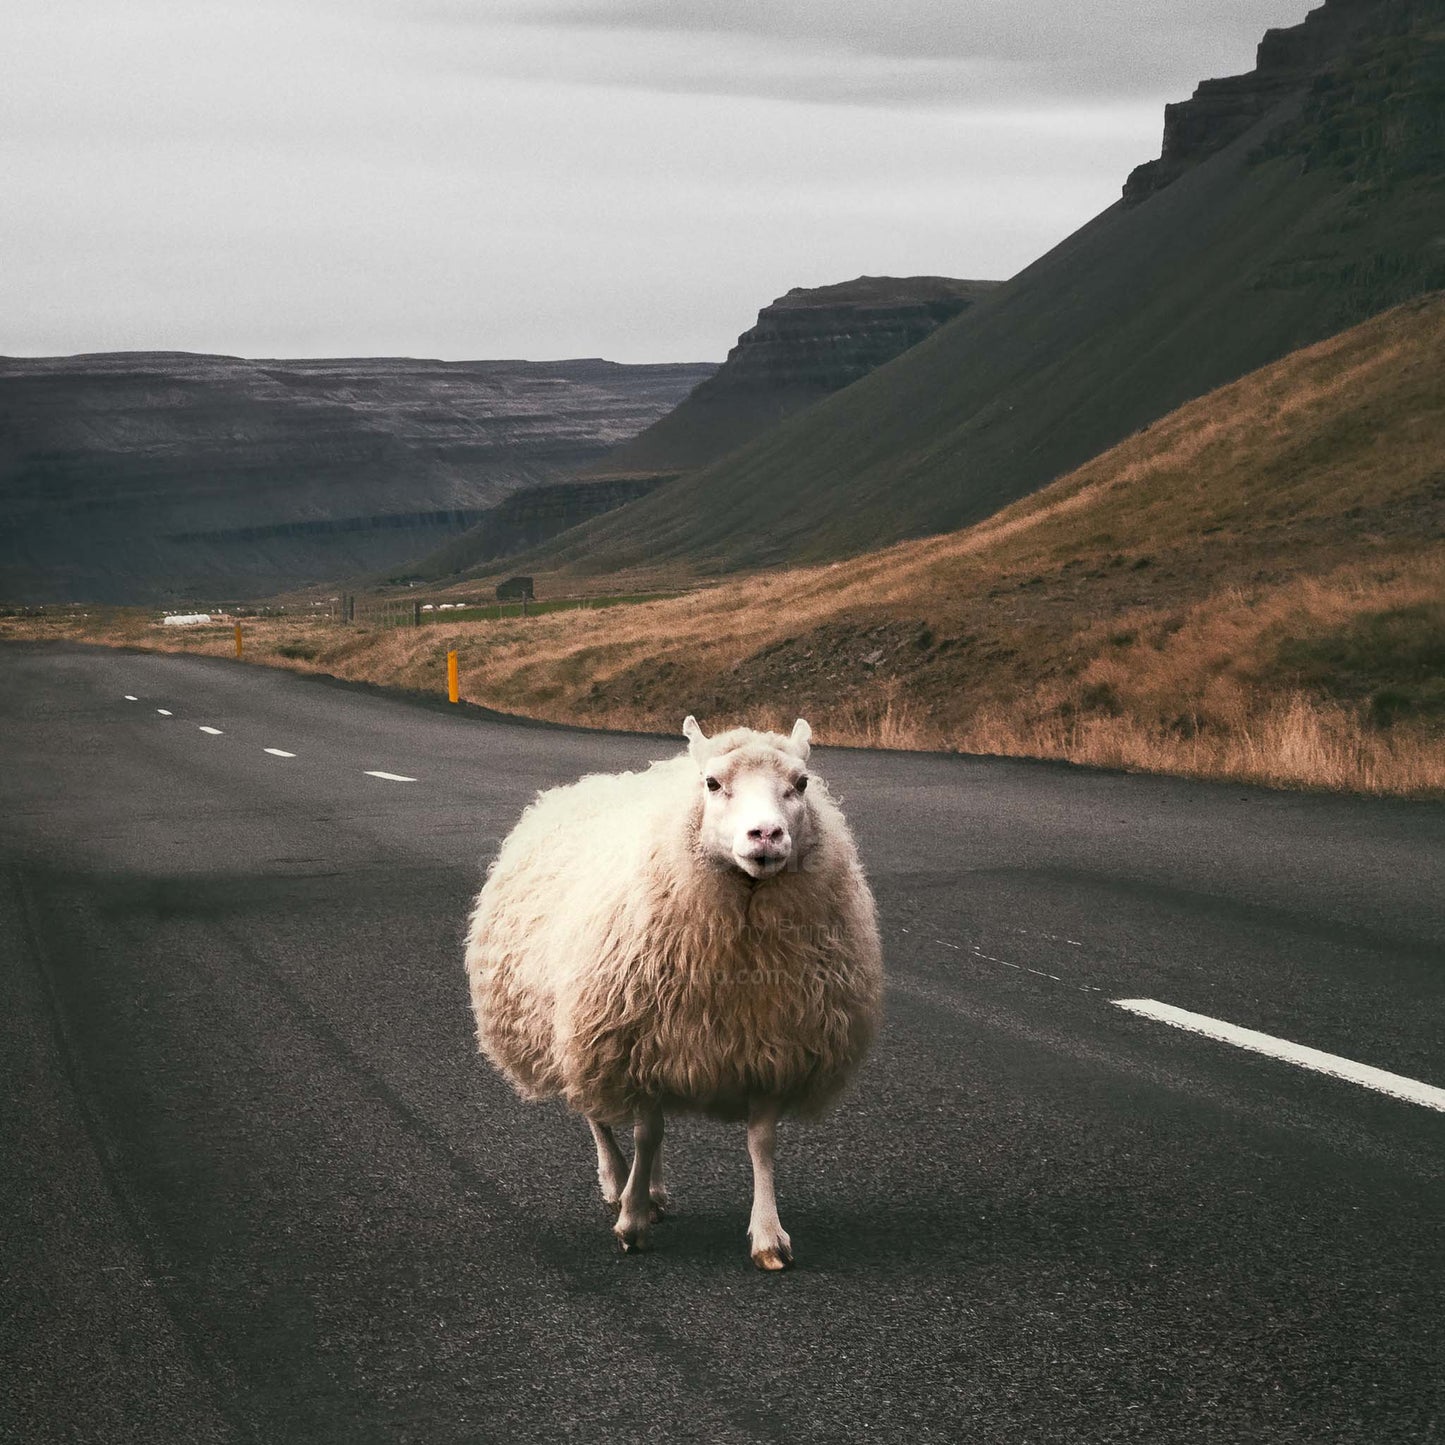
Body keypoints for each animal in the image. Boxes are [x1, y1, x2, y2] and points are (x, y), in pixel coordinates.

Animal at [468, 716, 884, 1271]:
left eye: (801, 783)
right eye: (712, 783)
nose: (767, 834)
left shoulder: (771, 1043)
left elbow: (760, 1142)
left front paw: (768, 1235)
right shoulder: (632, 1040)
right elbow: (646, 1134)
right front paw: (631, 1222)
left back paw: (653, 1190)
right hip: (578, 1030)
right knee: (600, 1115)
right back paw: (617, 1183)